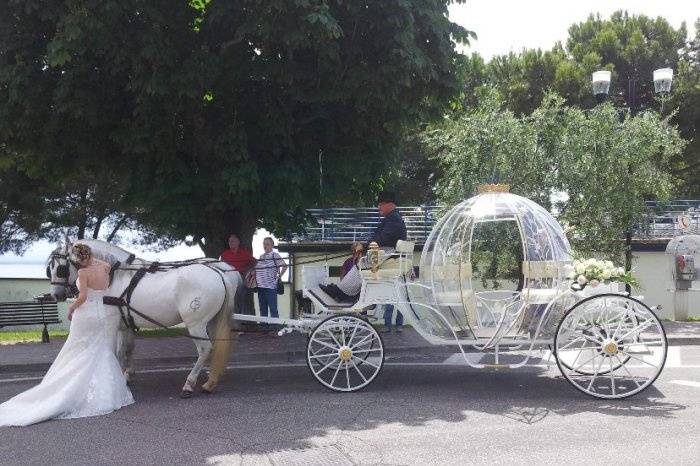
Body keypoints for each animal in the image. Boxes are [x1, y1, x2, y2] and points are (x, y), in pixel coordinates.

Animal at [47, 240, 241, 396]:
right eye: (51, 268)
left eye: (61, 268)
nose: (56, 295)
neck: (115, 276)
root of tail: (220, 274)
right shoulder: (126, 324)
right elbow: (128, 349)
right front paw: (127, 375)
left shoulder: (115, 324)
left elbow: (118, 352)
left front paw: (119, 377)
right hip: (212, 321)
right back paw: (211, 379)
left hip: (196, 324)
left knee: (205, 349)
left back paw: (190, 384)